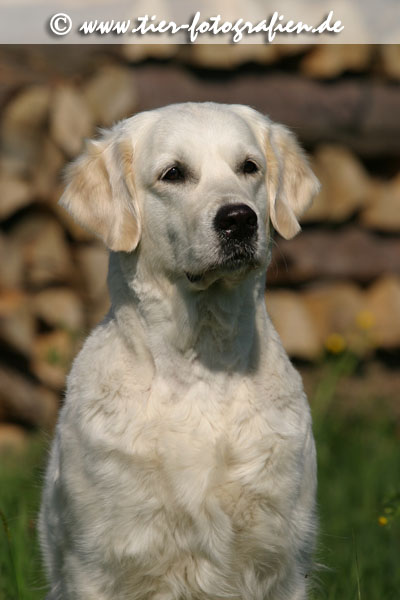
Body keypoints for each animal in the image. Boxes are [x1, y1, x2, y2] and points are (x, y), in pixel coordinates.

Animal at [39, 104, 318, 600]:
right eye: (173, 173)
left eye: (249, 167)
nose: (239, 219)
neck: (201, 364)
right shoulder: (95, 563)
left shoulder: (284, 558)